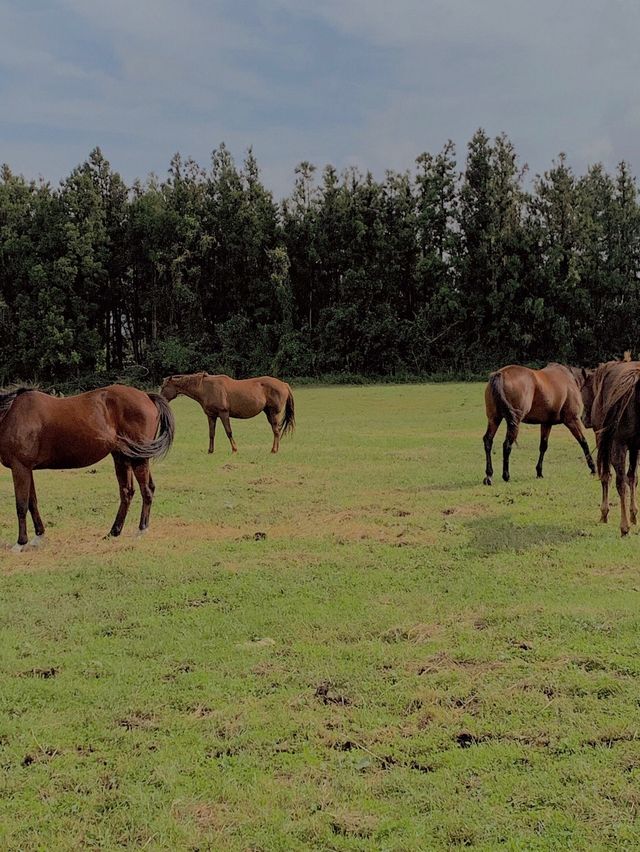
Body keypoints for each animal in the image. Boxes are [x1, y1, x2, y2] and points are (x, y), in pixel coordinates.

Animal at [0, 382, 175, 552]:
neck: (10, 415)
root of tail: (146, 396)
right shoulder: (27, 469)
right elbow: (32, 503)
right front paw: (38, 536)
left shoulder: (20, 468)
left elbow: (21, 505)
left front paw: (20, 543)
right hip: (123, 457)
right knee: (128, 492)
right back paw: (114, 532)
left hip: (139, 458)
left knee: (146, 490)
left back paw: (141, 530)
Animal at [162, 372, 298, 456]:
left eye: (164, 387)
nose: (161, 399)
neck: (206, 388)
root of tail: (284, 384)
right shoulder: (211, 416)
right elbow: (211, 434)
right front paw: (210, 450)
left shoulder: (224, 414)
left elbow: (229, 432)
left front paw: (234, 449)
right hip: (269, 413)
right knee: (276, 431)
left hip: (273, 413)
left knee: (276, 431)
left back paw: (274, 450)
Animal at [580, 362, 640, 536]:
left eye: (582, 390)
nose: (583, 418)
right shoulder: (635, 448)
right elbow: (633, 478)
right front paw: (634, 515)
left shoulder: (605, 444)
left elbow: (607, 476)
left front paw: (604, 513)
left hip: (616, 446)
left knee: (620, 483)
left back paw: (624, 527)